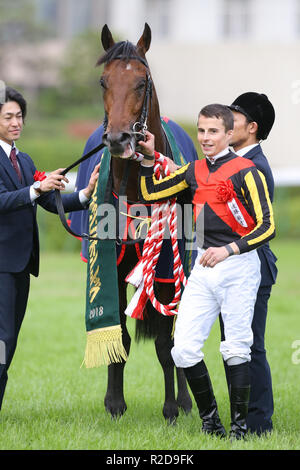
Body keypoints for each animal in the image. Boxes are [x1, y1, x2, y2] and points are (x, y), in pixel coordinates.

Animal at [70, 23, 198, 424]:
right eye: (103, 81)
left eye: (142, 82)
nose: (118, 138)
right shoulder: (111, 261)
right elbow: (120, 336)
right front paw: (115, 403)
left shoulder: (166, 264)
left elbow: (166, 340)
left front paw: (172, 407)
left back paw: (185, 400)